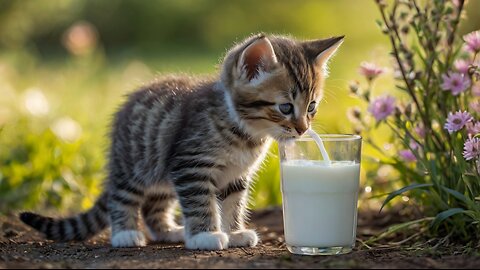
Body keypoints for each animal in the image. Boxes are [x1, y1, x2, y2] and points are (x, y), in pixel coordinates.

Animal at [18, 33, 342, 251]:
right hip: (134, 163)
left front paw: (235, 232)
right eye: (285, 107)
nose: (302, 129)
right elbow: (201, 202)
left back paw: (167, 231)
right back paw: (125, 234)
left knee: (153, 207)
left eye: (312, 106)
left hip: (162, 176)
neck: (243, 132)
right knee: (121, 197)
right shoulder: (191, 165)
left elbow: (233, 203)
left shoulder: (235, 175)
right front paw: (205, 235)